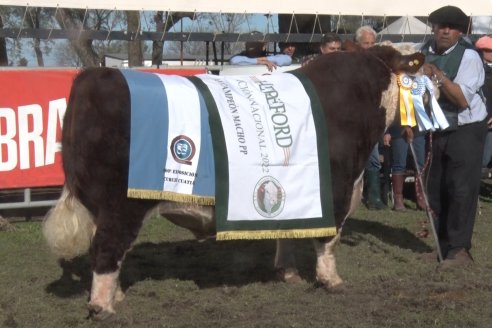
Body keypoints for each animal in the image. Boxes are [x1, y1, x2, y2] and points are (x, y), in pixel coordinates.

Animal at [43, 44, 426, 320]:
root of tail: (97, 75)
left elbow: (289, 231)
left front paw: (287, 273)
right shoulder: (337, 188)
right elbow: (327, 240)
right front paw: (330, 280)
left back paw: (116, 294)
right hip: (121, 204)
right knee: (107, 247)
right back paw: (103, 306)